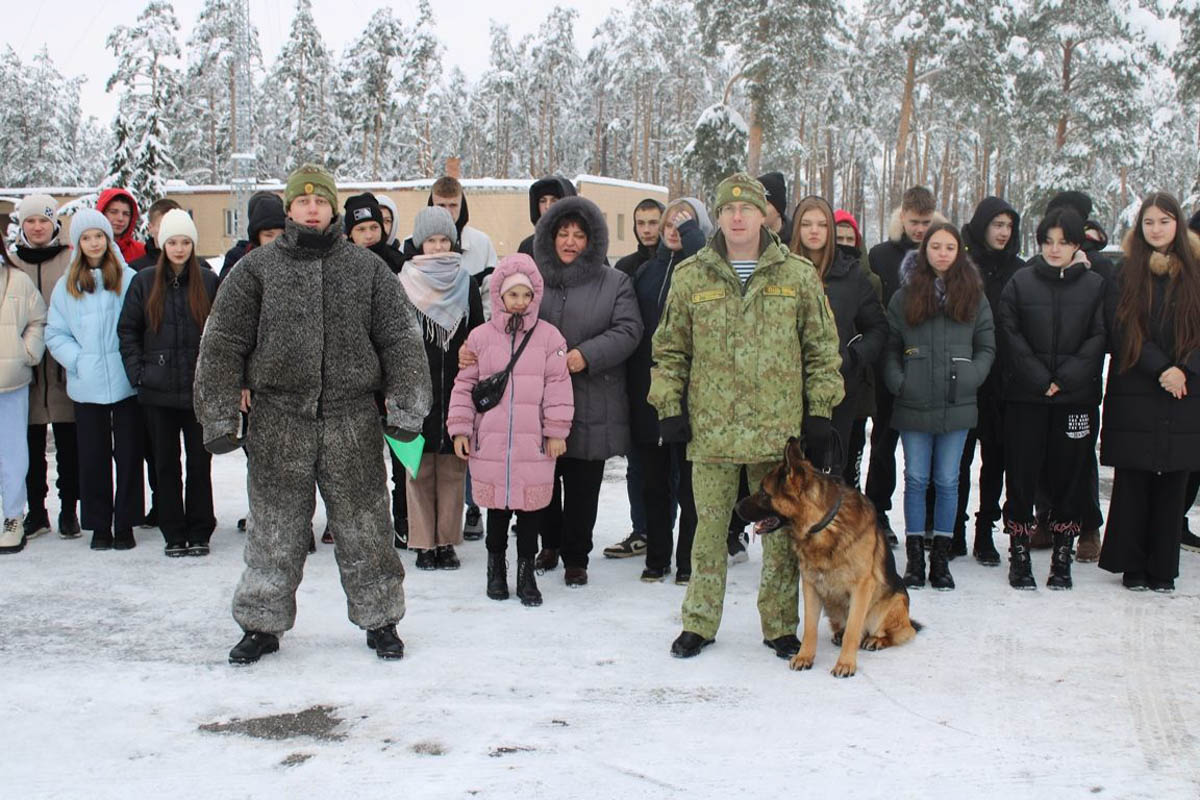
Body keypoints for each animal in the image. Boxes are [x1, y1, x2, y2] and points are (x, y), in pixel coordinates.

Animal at [729, 438, 916, 676]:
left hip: (891, 603)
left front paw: (845, 663)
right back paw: (839, 635)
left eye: (763, 493)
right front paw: (804, 657)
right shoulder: (810, 585)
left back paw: (876, 640)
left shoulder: (862, 587)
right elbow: (810, 628)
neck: (824, 525)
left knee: (900, 632)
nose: (736, 507)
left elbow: (853, 630)